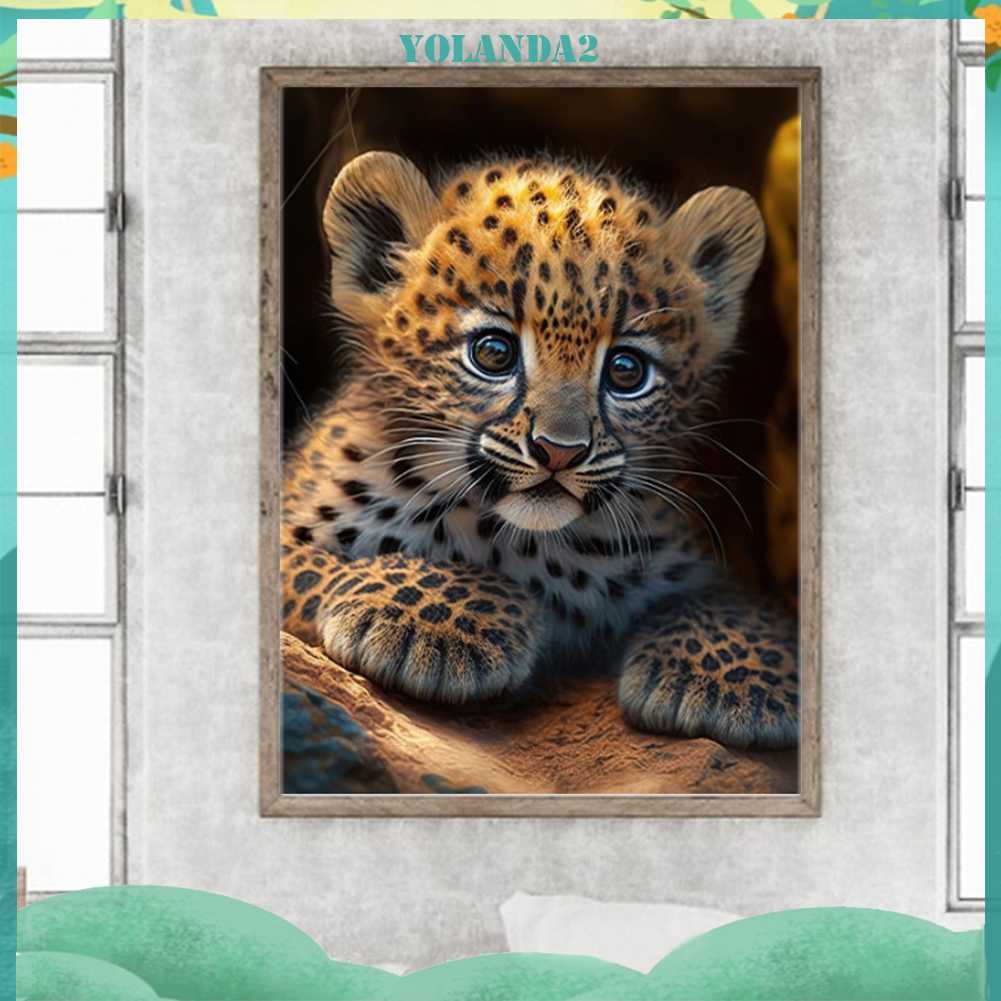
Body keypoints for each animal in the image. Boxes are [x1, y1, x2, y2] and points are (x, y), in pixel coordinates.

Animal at [281, 151, 798, 750]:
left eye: (627, 370)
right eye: (493, 353)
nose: (559, 451)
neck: (522, 545)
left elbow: (733, 604)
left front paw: (730, 677)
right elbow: (317, 562)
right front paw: (434, 618)